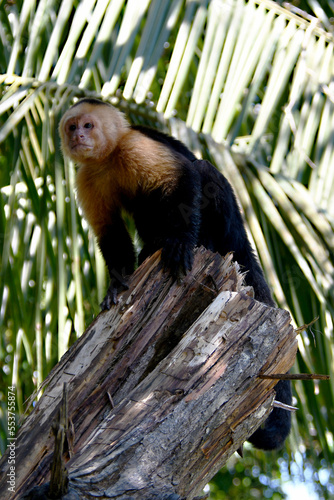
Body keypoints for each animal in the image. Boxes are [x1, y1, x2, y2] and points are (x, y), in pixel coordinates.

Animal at [59, 96, 292, 450]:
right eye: (72, 127)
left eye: (88, 125)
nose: (78, 137)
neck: (107, 157)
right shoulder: (87, 176)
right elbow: (111, 232)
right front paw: (117, 282)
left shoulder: (135, 146)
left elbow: (182, 180)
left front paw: (181, 242)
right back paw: (151, 248)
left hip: (228, 226)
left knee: (202, 171)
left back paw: (194, 241)